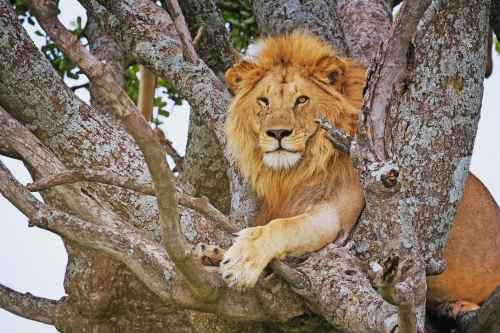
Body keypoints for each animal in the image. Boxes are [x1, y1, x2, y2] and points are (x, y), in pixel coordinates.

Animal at [205, 32, 498, 318]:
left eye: (301, 100)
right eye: (263, 101)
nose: (277, 133)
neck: (293, 172)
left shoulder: (334, 217)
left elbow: (283, 226)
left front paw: (243, 260)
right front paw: (213, 253)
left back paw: (459, 307)